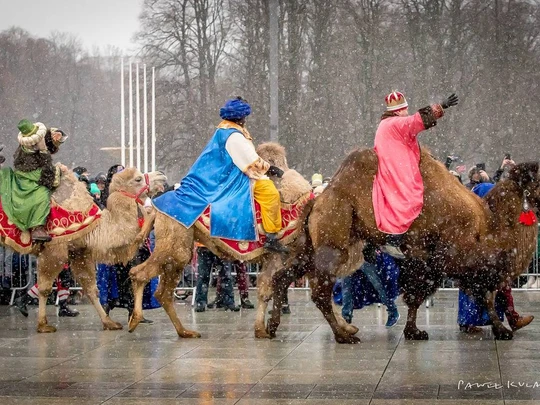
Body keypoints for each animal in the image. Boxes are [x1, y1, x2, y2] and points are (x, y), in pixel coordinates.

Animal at [0, 163, 166, 332]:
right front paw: (43, 325)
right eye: (138, 178)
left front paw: (109, 322)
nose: (161, 175)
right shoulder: (54, 249)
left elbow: (91, 288)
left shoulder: (79, 252)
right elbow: (45, 288)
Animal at [127, 142, 318, 338]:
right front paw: (263, 330)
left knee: (162, 292)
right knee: (140, 274)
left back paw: (185, 331)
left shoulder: (273, 259)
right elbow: (267, 290)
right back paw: (136, 320)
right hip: (175, 247)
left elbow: (266, 289)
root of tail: (155, 208)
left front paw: (261, 329)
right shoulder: (277, 257)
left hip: (178, 251)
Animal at [266, 147, 540, 342]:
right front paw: (415, 331)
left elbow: (483, 294)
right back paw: (343, 336)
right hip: (332, 247)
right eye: (537, 180)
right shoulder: (434, 258)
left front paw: (503, 328)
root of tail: (316, 202)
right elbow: (422, 294)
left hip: (309, 249)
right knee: (320, 293)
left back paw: (271, 328)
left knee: (281, 278)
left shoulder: (455, 264)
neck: (486, 226)